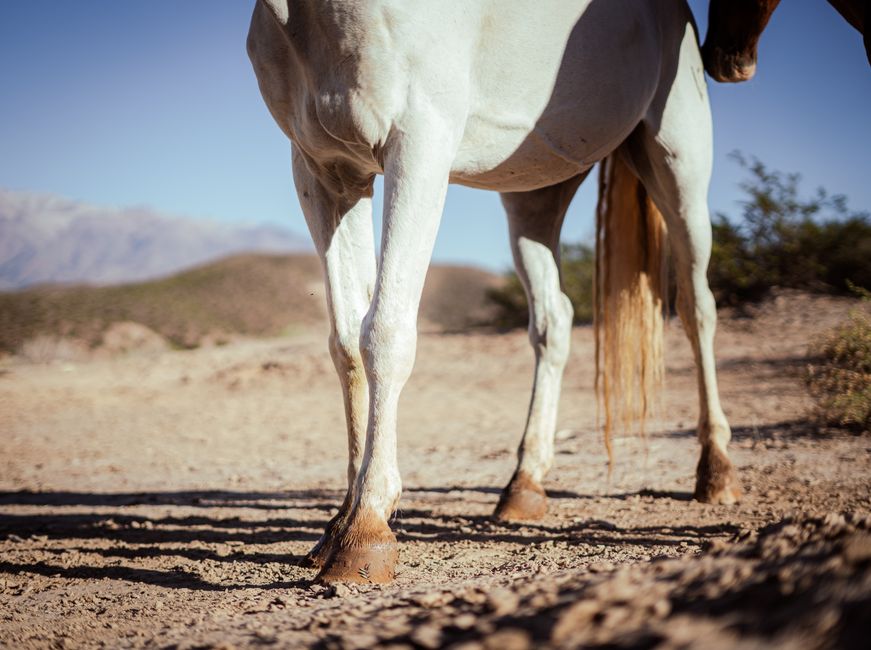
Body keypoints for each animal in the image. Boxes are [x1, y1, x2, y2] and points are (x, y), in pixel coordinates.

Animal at [247, 0, 740, 584]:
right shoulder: (325, 170)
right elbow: (345, 343)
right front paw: (338, 522)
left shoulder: (419, 142)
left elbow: (384, 332)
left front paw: (365, 530)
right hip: (537, 192)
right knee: (555, 319)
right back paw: (524, 486)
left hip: (677, 159)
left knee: (696, 306)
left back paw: (716, 471)